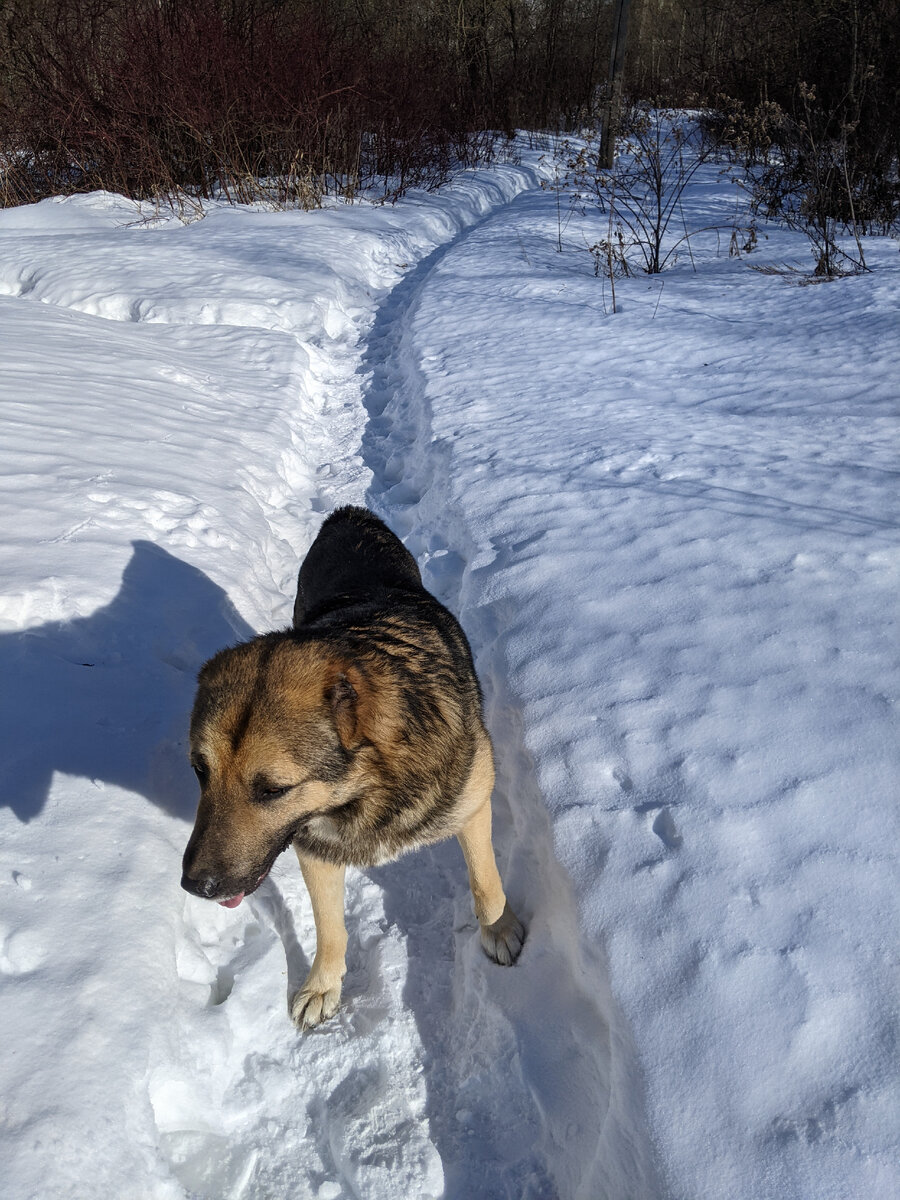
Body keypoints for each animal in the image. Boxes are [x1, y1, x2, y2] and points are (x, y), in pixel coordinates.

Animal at [181, 506, 525, 1032]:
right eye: (199, 770)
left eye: (273, 789)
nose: (195, 886)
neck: (365, 790)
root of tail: (349, 512)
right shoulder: (314, 847)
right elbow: (330, 928)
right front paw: (323, 985)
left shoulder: (472, 803)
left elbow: (486, 883)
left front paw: (500, 929)